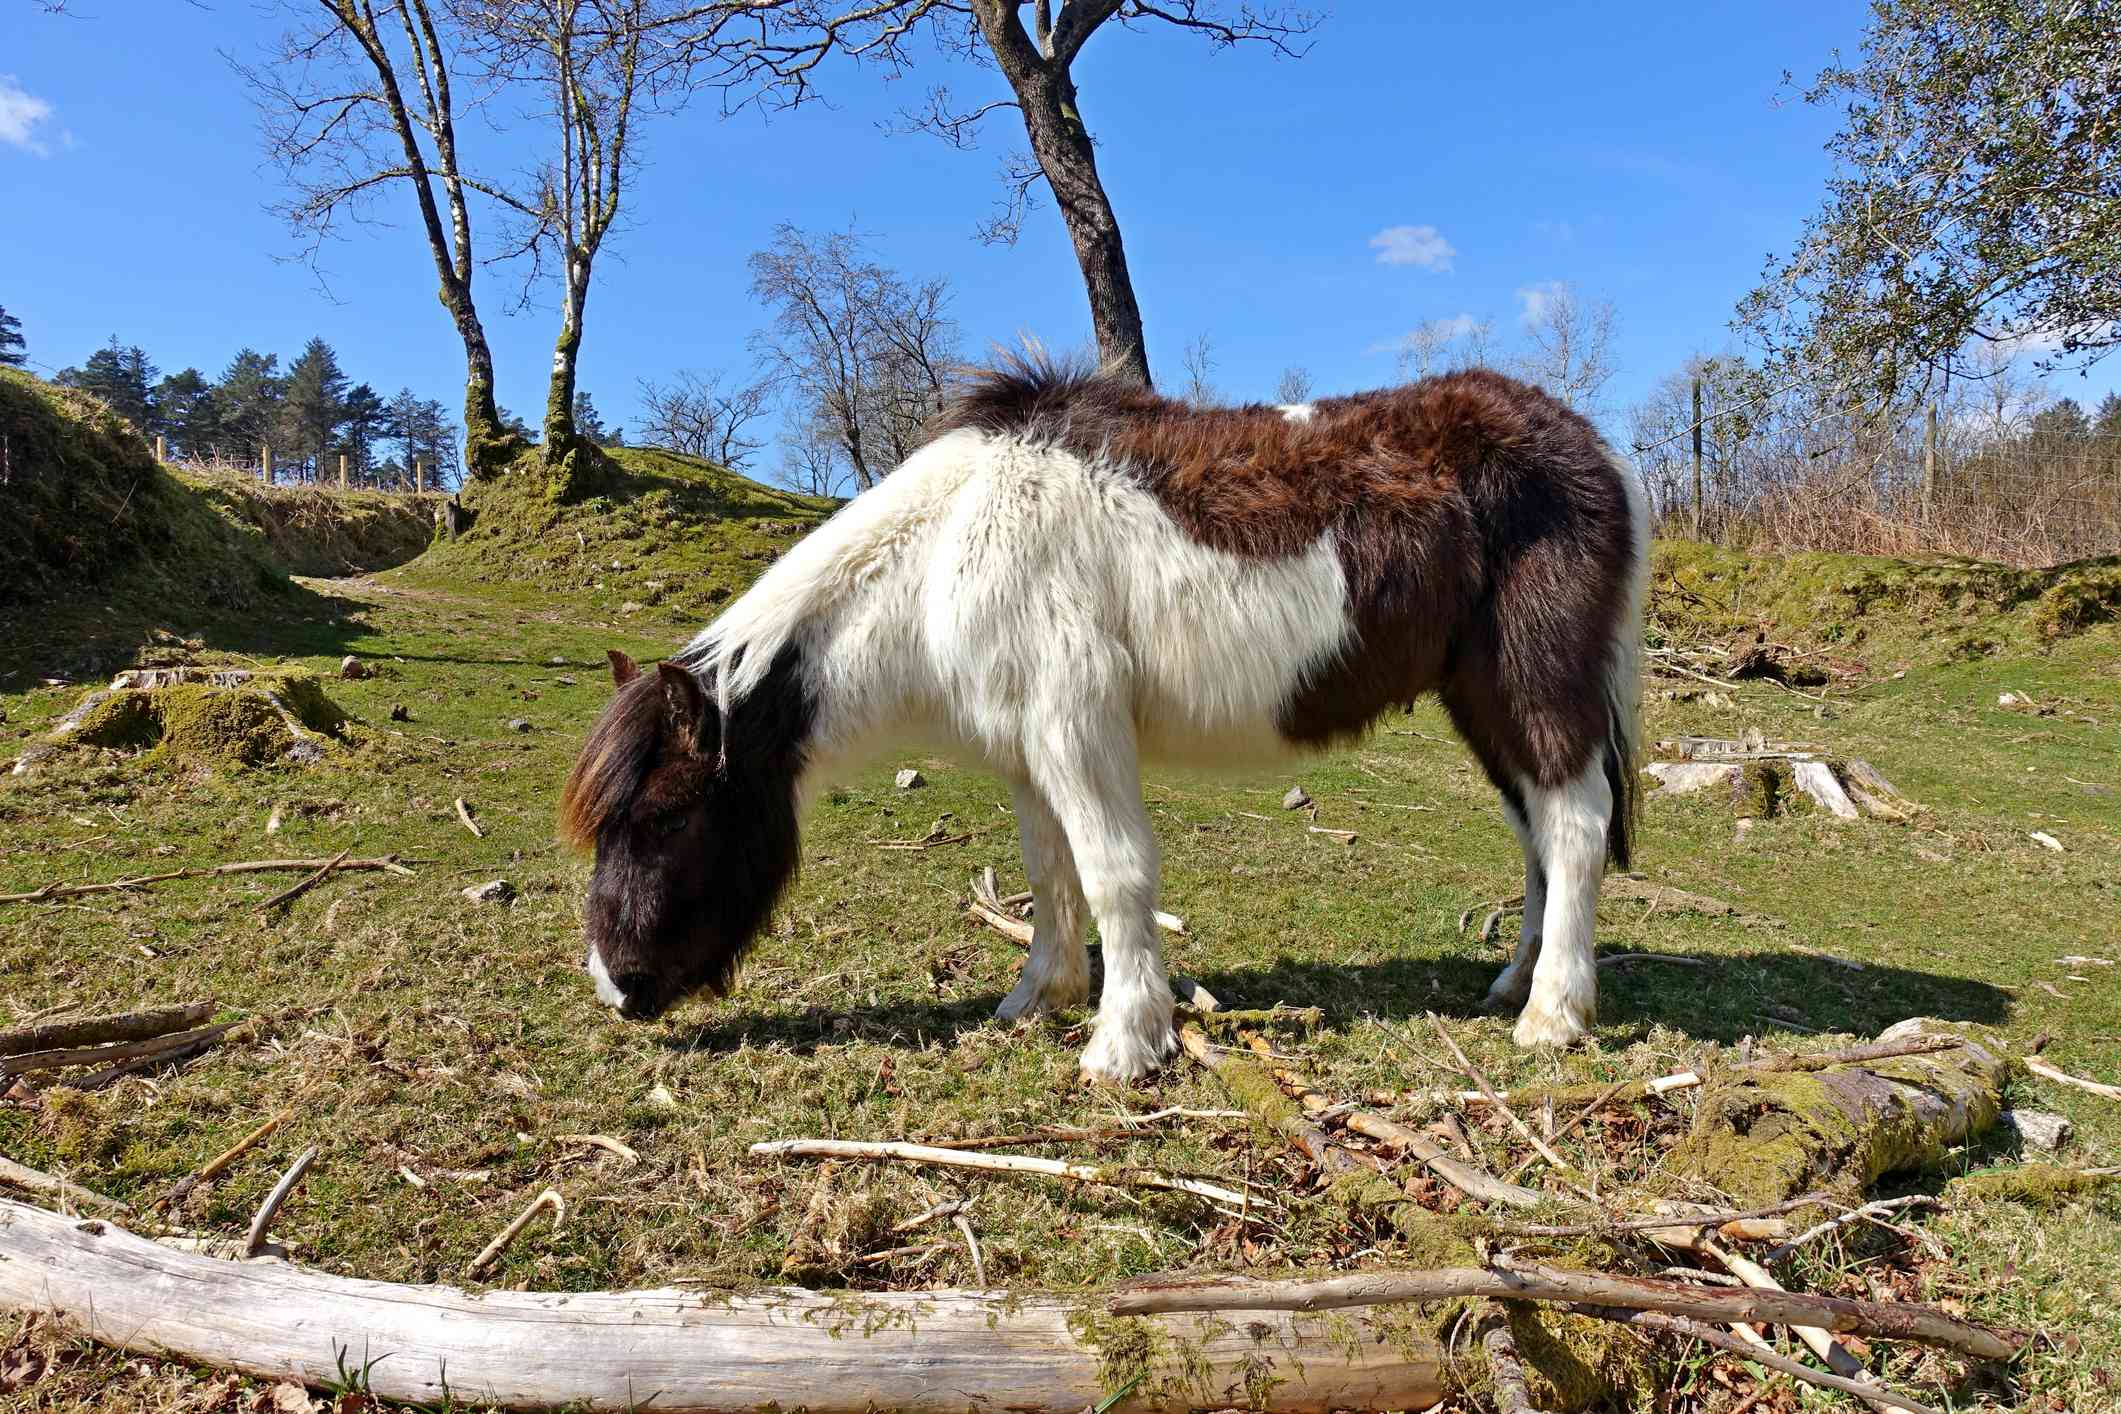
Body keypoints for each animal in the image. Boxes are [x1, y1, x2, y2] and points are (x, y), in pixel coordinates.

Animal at [555, 356, 1645, 1085]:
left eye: (661, 819)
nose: (615, 987)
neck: (946, 550)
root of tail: (1593, 451)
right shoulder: (1028, 749)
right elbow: (1052, 875)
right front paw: (1039, 997)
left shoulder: (1076, 725)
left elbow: (1116, 874)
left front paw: (1123, 1043)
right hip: (1482, 701)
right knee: (1536, 831)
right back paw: (1513, 985)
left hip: (1535, 685)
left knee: (1575, 824)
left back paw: (1554, 1016)